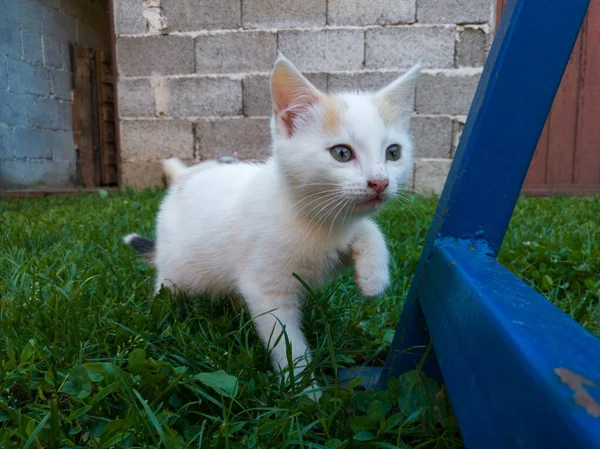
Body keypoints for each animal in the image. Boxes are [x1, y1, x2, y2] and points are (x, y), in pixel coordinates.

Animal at [124, 55, 420, 400]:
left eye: (393, 152)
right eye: (342, 153)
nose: (380, 183)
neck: (318, 220)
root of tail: (184, 176)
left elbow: (369, 230)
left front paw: (373, 279)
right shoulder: (267, 289)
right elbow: (286, 341)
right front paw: (305, 393)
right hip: (177, 267)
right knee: (167, 287)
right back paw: (164, 312)